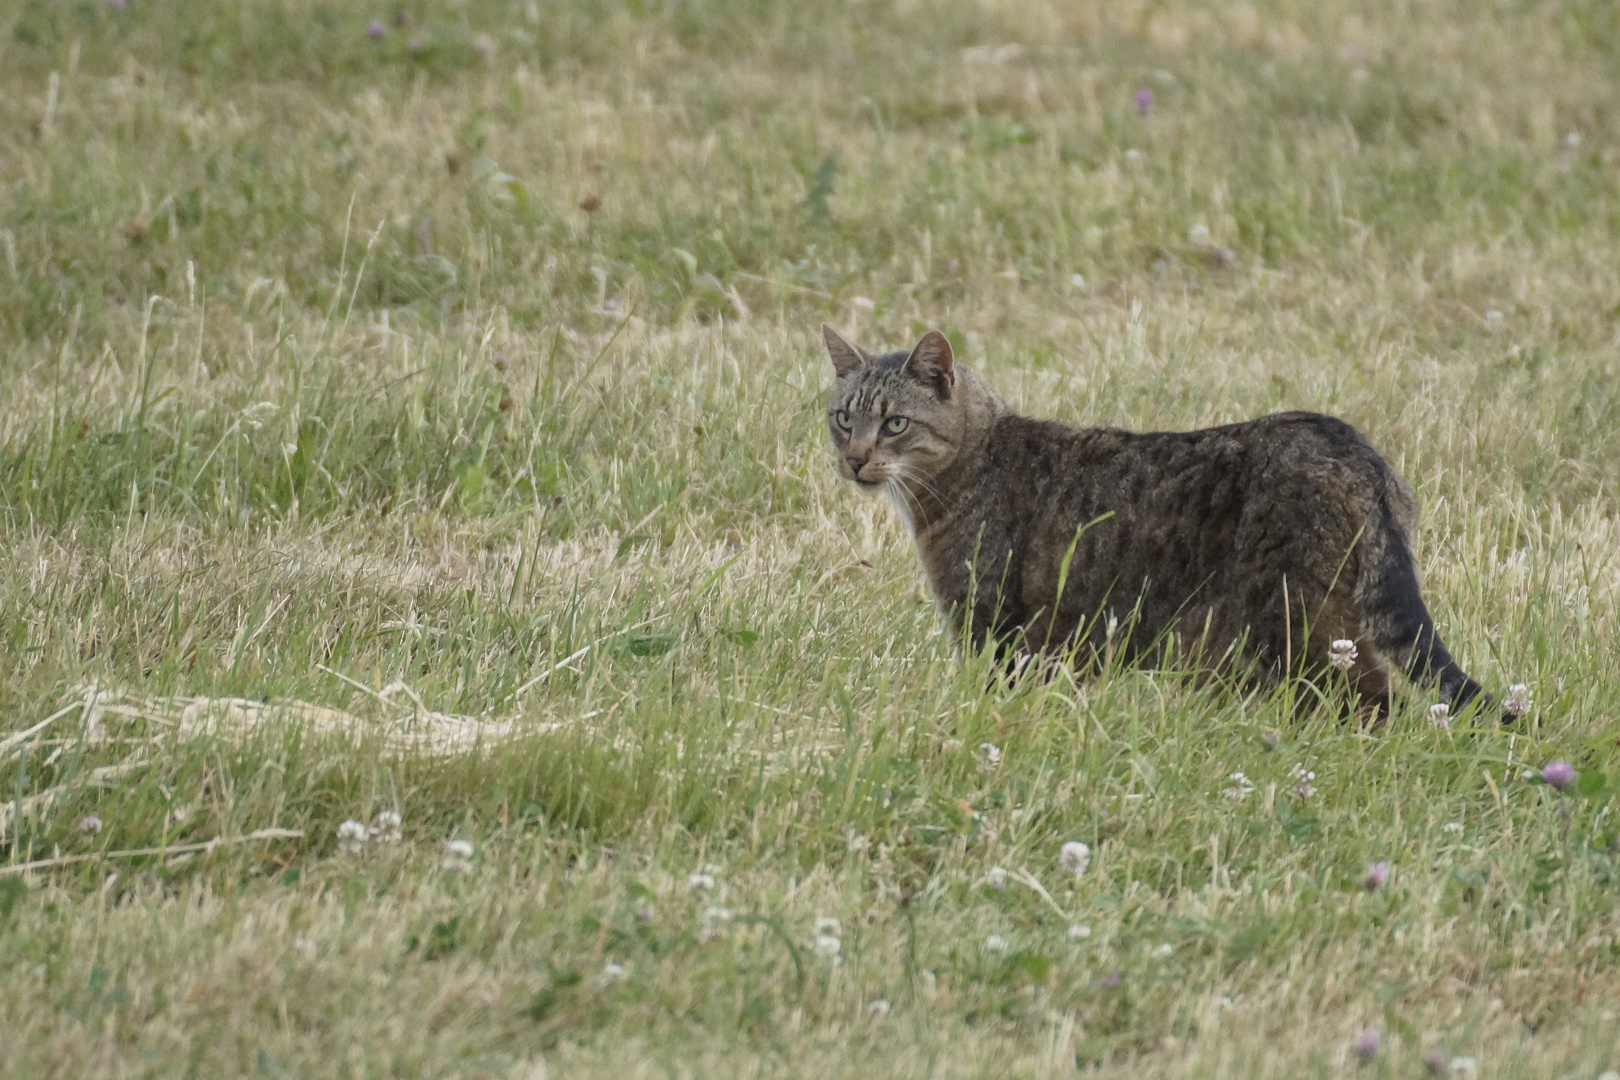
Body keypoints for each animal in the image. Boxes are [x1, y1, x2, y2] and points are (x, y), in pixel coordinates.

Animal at [822, 325, 1490, 722]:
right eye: (842, 419)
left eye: (895, 424)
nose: (853, 460)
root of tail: (1351, 444)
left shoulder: (993, 628)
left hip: (1298, 626)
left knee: (1375, 705)